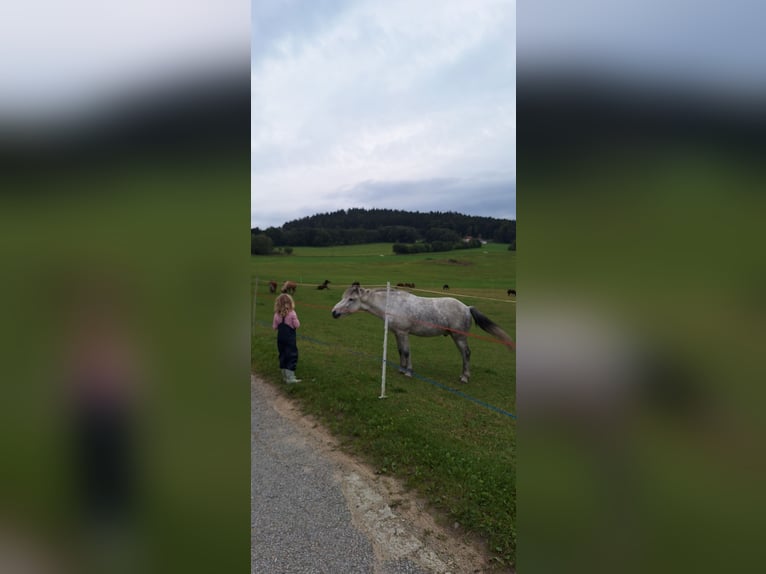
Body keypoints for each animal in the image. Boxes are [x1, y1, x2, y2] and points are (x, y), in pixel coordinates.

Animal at [331, 284, 514, 384]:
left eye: (351, 299)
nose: (334, 313)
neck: (393, 305)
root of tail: (467, 308)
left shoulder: (404, 333)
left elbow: (406, 352)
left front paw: (408, 372)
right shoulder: (397, 333)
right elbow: (401, 352)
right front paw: (401, 369)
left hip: (459, 337)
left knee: (466, 354)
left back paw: (464, 377)